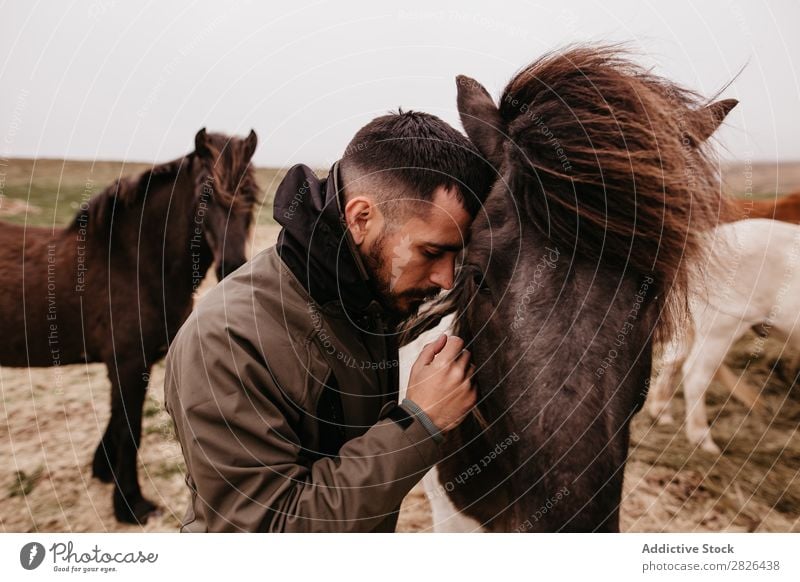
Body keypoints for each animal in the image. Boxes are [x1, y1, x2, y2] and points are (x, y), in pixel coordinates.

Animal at [0, 130, 260, 528]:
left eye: (252, 196)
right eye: (205, 194)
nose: (232, 266)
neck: (134, 264)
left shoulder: (135, 362)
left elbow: (116, 421)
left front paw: (104, 471)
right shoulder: (126, 363)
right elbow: (130, 431)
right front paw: (131, 504)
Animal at [648, 219, 800, 456]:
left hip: (690, 317)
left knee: (673, 357)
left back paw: (663, 417)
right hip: (722, 323)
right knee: (695, 374)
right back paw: (706, 444)